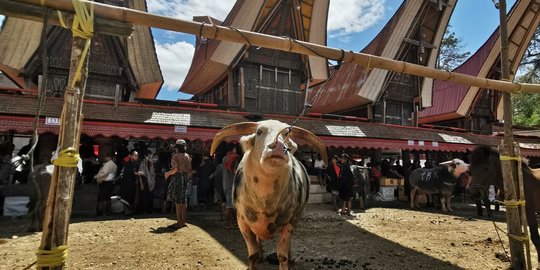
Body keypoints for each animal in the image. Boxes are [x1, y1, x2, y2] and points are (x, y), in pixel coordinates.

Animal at [210, 120, 330, 270]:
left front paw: (286, 261)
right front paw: (255, 261)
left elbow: (282, 254)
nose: (278, 146)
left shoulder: (291, 222)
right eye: (259, 131)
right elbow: (253, 254)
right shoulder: (242, 222)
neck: (265, 200)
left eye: (286, 133)